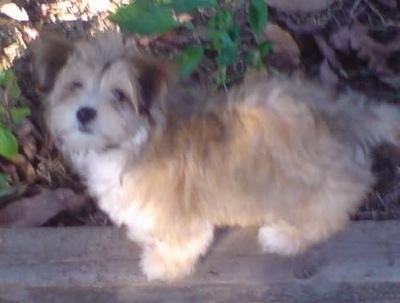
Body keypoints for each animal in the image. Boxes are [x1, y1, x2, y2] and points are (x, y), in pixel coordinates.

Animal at [32, 31, 400, 282]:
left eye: (120, 95)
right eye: (74, 86)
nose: (84, 113)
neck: (134, 141)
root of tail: (344, 114)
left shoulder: (178, 215)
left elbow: (183, 241)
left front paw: (165, 265)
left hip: (310, 188)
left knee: (327, 217)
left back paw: (285, 236)